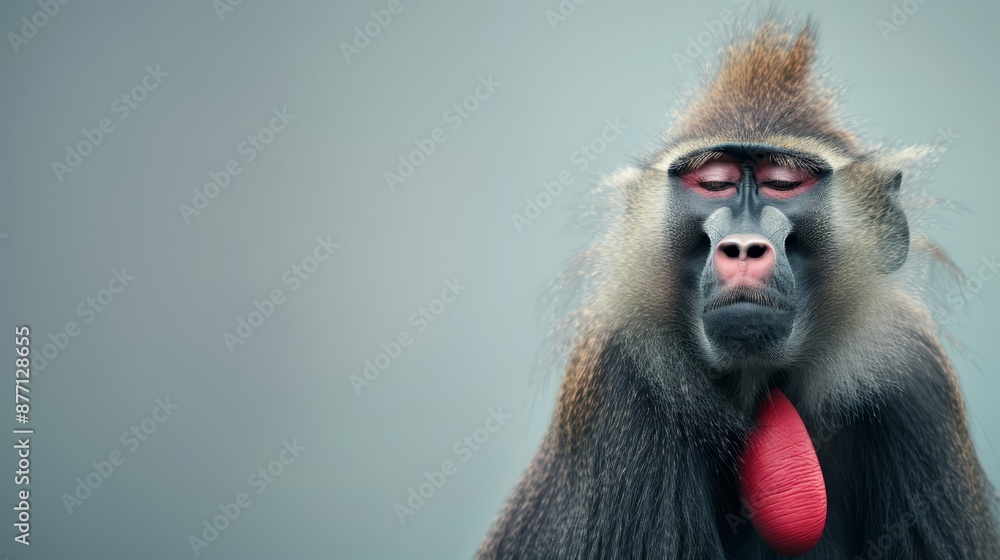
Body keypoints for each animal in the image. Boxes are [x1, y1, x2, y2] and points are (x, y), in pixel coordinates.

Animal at [475, 19, 1000, 560]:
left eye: (783, 183)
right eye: (713, 183)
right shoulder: (620, 381)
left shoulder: (917, 381)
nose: (744, 246)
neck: (757, 380)